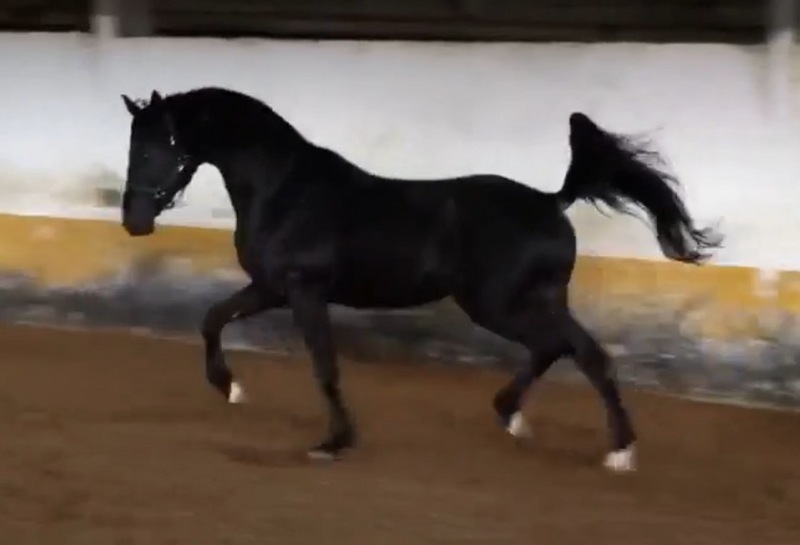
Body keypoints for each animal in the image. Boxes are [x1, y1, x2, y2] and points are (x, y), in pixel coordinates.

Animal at [119, 87, 721, 472]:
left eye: (155, 148)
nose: (134, 220)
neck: (284, 189)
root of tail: (553, 201)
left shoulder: (302, 290)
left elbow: (324, 367)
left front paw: (334, 442)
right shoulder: (271, 288)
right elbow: (212, 318)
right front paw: (230, 387)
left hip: (500, 303)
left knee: (584, 353)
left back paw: (618, 452)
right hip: (522, 301)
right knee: (558, 348)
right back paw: (512, 417)